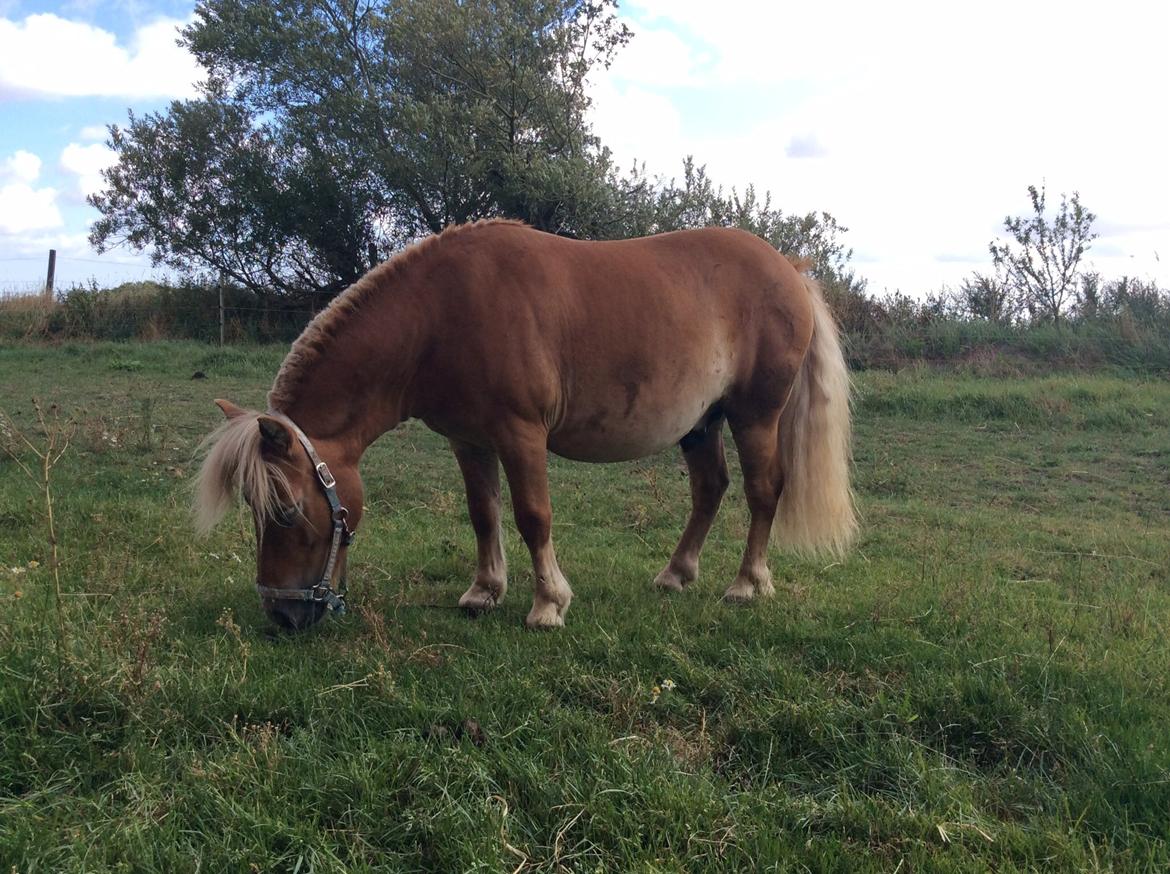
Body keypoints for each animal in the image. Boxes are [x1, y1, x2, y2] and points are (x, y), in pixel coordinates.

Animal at [196, 218, 856, 627]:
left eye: (286, 511)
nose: (282, 614)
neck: (439, 316)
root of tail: (789, 268)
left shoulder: (521, 435)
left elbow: (533, 516)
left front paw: (547, 605)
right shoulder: (468, 441)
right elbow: (483, 514)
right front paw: (484, 591)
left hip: (755, 417)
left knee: (763, 492)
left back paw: (747, 583)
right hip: (701, 423)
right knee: (710, 490)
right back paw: (675, 574)